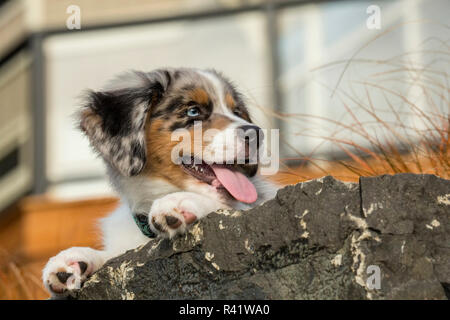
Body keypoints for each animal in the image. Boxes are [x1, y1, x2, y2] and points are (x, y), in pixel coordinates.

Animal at [44, 67, 280, 298]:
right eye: (193, 111)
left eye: (237, 112)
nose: (257, 134)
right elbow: (112, 255)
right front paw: (74, 260)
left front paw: (179, 202)